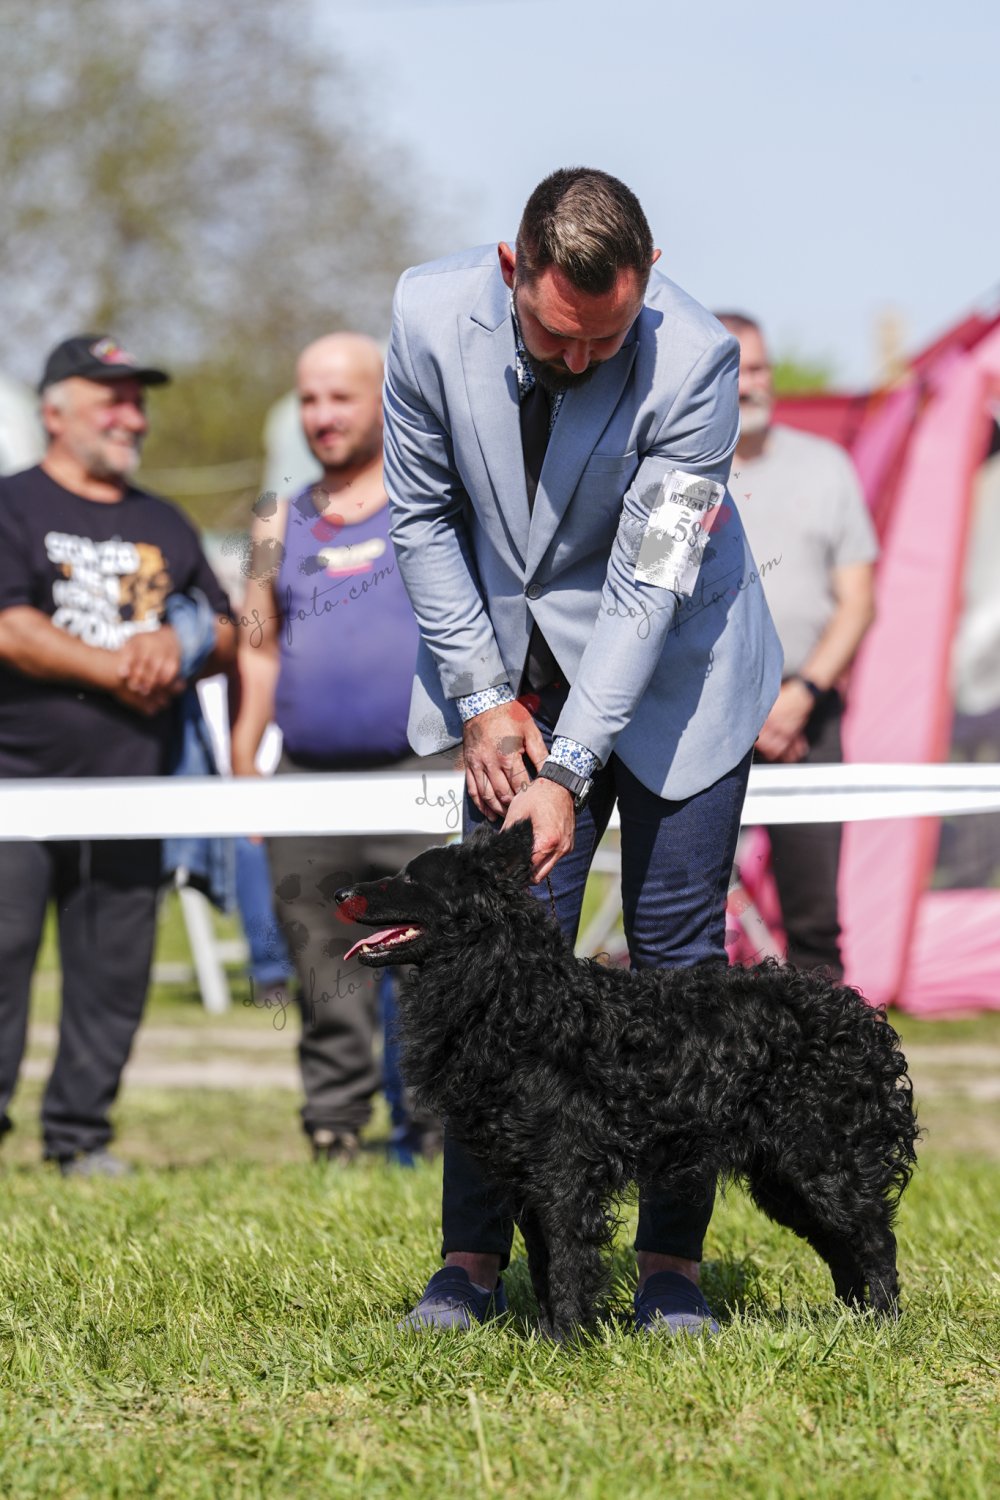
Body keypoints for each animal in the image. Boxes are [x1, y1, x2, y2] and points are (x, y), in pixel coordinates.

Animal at [337, 821, 918, 1337]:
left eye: (411, 878)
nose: (341, 892)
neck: (519, 997)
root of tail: (860, 1018)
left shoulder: (564, 1174)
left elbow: (568, 1266)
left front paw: (569, 1346)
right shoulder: (527, 1178)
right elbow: (545, 1268)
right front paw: (548, 1340)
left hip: (823, 1162)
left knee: (874, 1239)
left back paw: (882, 1327)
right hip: (783, 1177)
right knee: (841, 1247)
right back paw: (849, 1322)